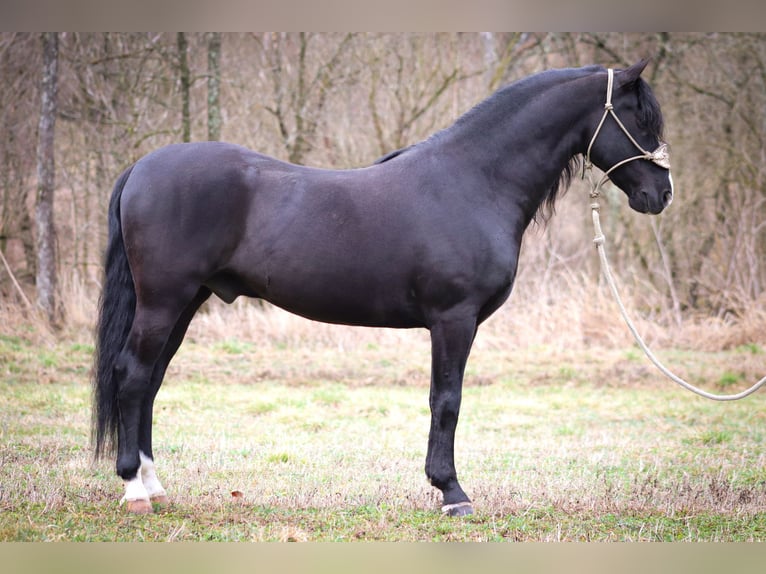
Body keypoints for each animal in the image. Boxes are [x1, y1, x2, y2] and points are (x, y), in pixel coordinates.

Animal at [94, 62, 672, 516]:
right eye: (640, 119)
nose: (661, 194)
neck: (474, 181)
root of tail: (142, 167)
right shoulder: (453, 319)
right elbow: (447, 400)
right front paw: (452, 493)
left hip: (185, 301)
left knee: (151, 381)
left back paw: (154, 484)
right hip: (165, 299)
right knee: (133, 375)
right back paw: (134, 490)